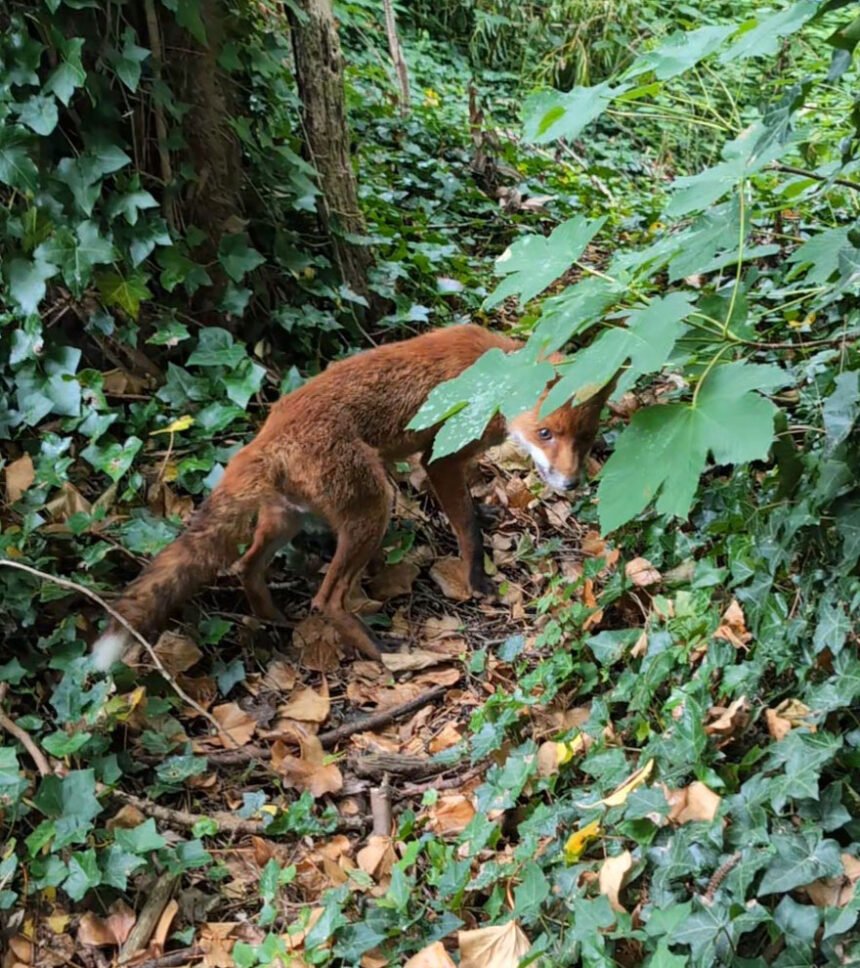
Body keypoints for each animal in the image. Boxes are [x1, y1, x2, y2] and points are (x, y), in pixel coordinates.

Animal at [91, 324, 614, 671]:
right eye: (545, 433)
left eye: (585, 440)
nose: (571, 485)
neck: (495, 379)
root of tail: (268, 434)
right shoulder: (439, 459)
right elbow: (466, 527)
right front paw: (477, 579)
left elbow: (469, 506)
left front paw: (483, 512)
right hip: (373, 508)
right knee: (325, 597)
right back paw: (378, 649)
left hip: (286, 518)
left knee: (247, 567)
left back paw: (275, 621)